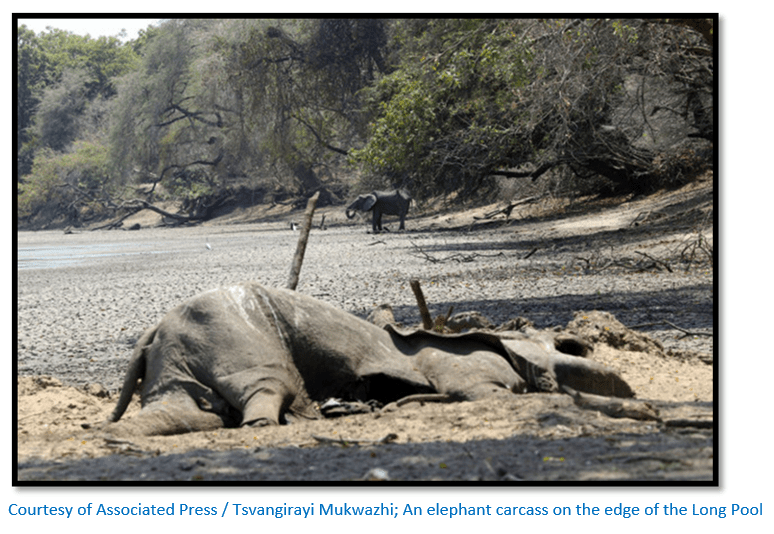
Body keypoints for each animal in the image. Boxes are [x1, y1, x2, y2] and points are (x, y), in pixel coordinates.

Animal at [106, 282, 633, 436]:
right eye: (564, 345)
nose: (583, 343)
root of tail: (157, 328)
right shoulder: (467, 369)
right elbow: (490, 394)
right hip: (239, 336)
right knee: (266, 390)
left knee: (189, 412)